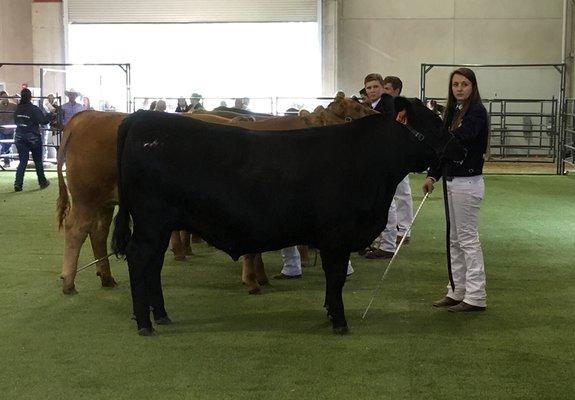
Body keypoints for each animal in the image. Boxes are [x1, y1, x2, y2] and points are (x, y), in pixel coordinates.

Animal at [56, 94, 376, 294]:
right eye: (354, 112)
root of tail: (86, 117)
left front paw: (260, 277)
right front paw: (254, 281)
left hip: (105, 200)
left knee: (97, 233)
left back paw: (107, 277)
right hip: (86, 195)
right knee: (76, 229)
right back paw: (69, 281)